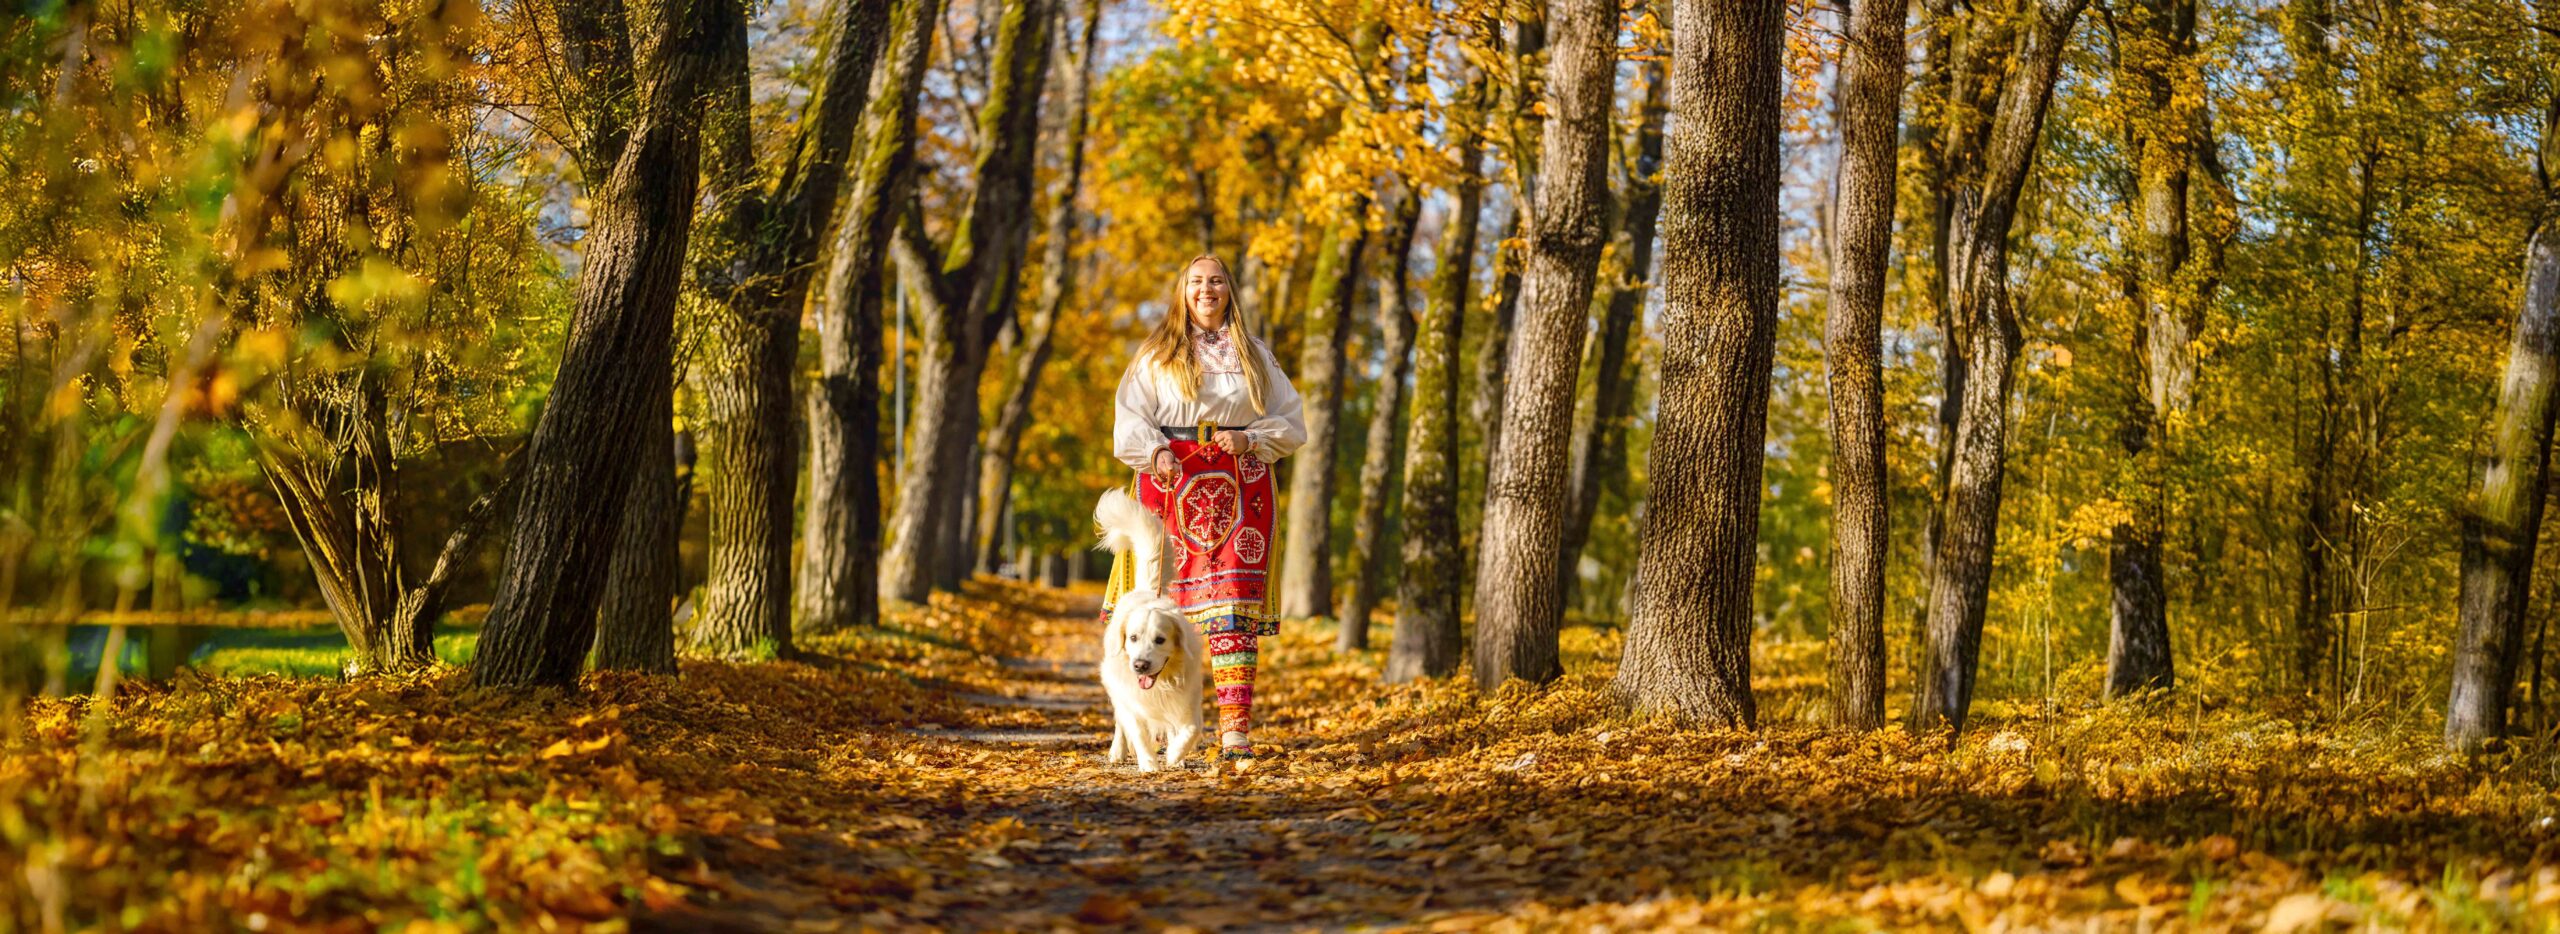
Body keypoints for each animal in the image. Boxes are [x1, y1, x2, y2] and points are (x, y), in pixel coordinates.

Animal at [1095, 483, 1203, 767]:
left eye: (1160, 640)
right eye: (1133, 638)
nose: (1140, 665)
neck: (1161, 682)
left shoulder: (1188, 697)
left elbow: (1190, 728)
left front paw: (1176, 754)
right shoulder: (1132, 700)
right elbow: (1138, 732)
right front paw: (1149, 764)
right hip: (1116, 686)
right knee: (1120, 724)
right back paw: (1117, 752)